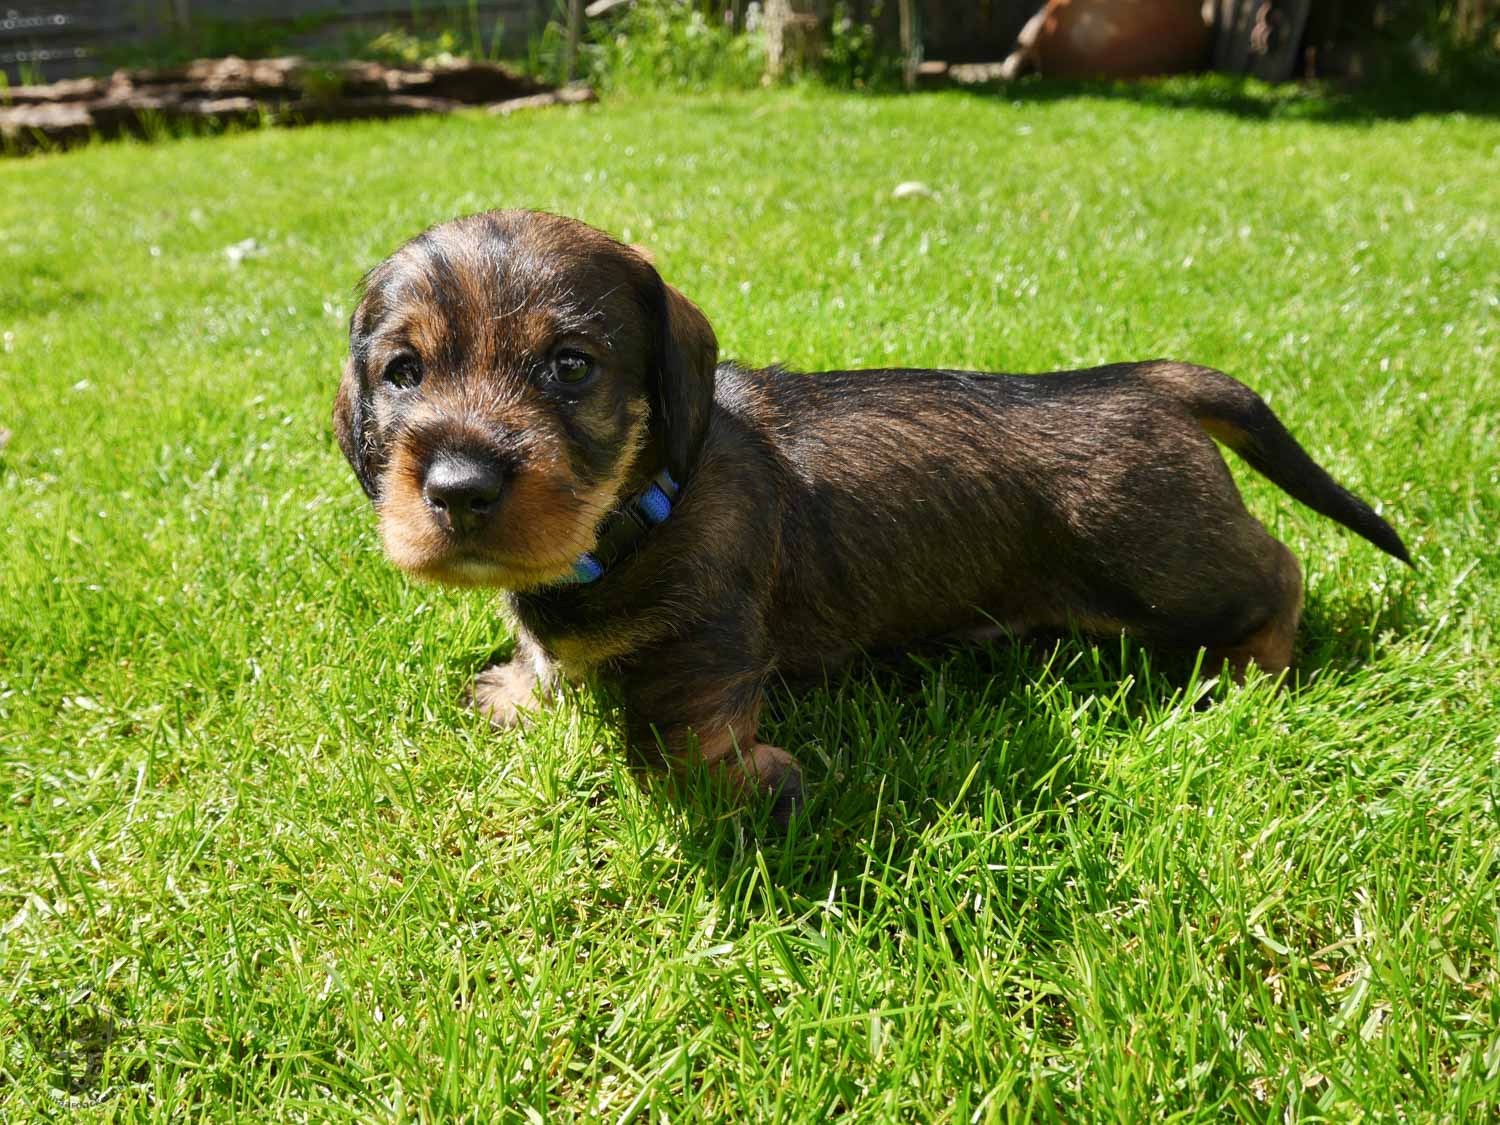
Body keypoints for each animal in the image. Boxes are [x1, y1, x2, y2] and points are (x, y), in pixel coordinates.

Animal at [334, 209, 1411, 825]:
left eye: (571, 366)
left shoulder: (704, 638)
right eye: (403, 372)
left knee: (1280, 574)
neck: (640, 511)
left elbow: (673, 739)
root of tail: (1147, 380)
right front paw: (521, 689)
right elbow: (547, 656)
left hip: (1169, 570)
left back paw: (1254, 671)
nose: (460, 486)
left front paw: (750, 791)